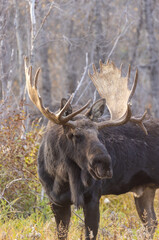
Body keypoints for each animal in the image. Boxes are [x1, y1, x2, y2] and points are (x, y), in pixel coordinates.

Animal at [24, 58, 159, 240]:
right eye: (74, 135)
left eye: (98, 133)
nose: (105, 164)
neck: (62, 177)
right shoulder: (56, 201)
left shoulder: (93, 197)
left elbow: (90, 234)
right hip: (145, 189)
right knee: (150, 223)